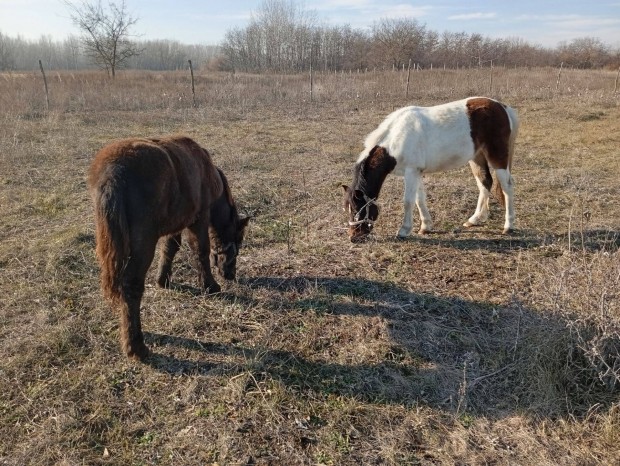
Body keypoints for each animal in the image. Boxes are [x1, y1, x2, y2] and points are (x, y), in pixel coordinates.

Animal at [88, 135, 252, 360]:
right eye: (238, 243)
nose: (230, 274)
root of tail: (113, 174)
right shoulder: (199, 219)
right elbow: (200, 251)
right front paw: (210, 285)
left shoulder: (177, 223)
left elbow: (169, 249)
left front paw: (162, 280)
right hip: (143, 243)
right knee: (131, 286)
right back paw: (136, 346)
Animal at [344, 96, 520, 242]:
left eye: (357, 209)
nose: (353, 237)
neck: (395, 140)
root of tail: (502, 107)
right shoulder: (416, 172)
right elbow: (419, 199)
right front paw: (425, 227)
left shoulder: (411, 172)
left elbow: (408, 201)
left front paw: (404, 230)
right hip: (477, 157)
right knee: (485, 183)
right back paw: (474, 219)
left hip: (498, 158)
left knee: (507, 187)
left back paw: (508, 226)